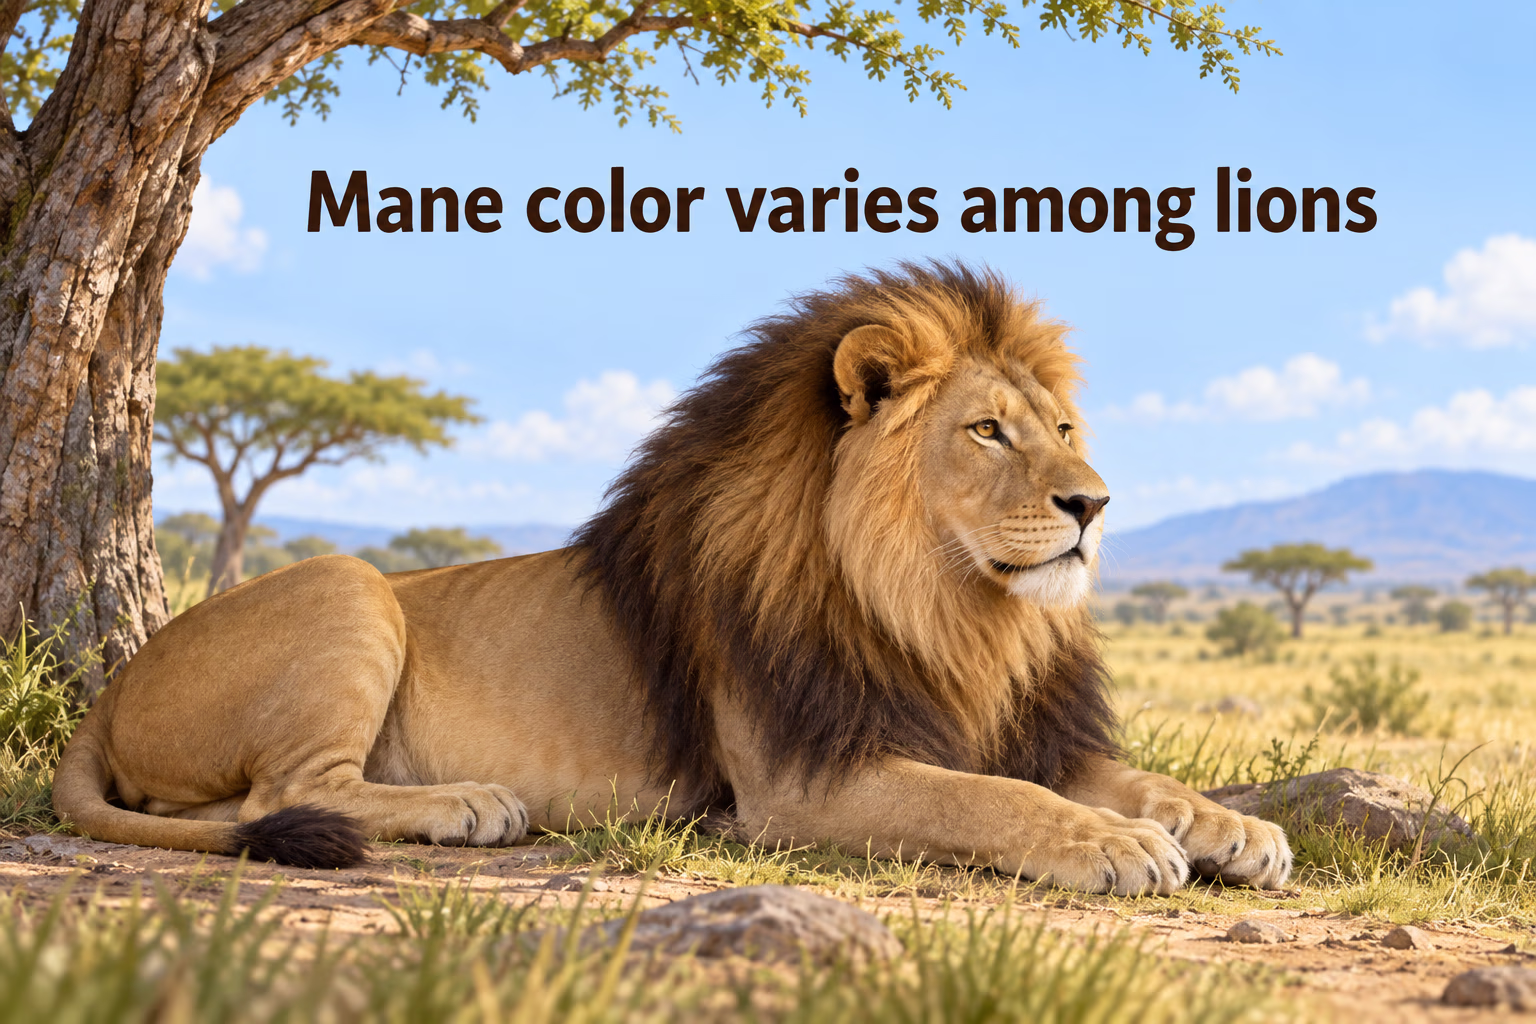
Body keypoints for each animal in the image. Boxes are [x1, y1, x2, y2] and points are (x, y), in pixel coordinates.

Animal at [53, 262, 1291, 893]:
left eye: (1066, 428)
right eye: (987, 431)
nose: (1094, 503)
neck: (948, 610)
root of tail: (108, 694)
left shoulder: (1012, 722)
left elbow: (1131, 777)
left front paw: (1231, 829)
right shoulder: (800, 783)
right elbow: (989, 799)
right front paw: (1116, 847)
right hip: (348, 584)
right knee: (280, 797)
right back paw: (469, 806)